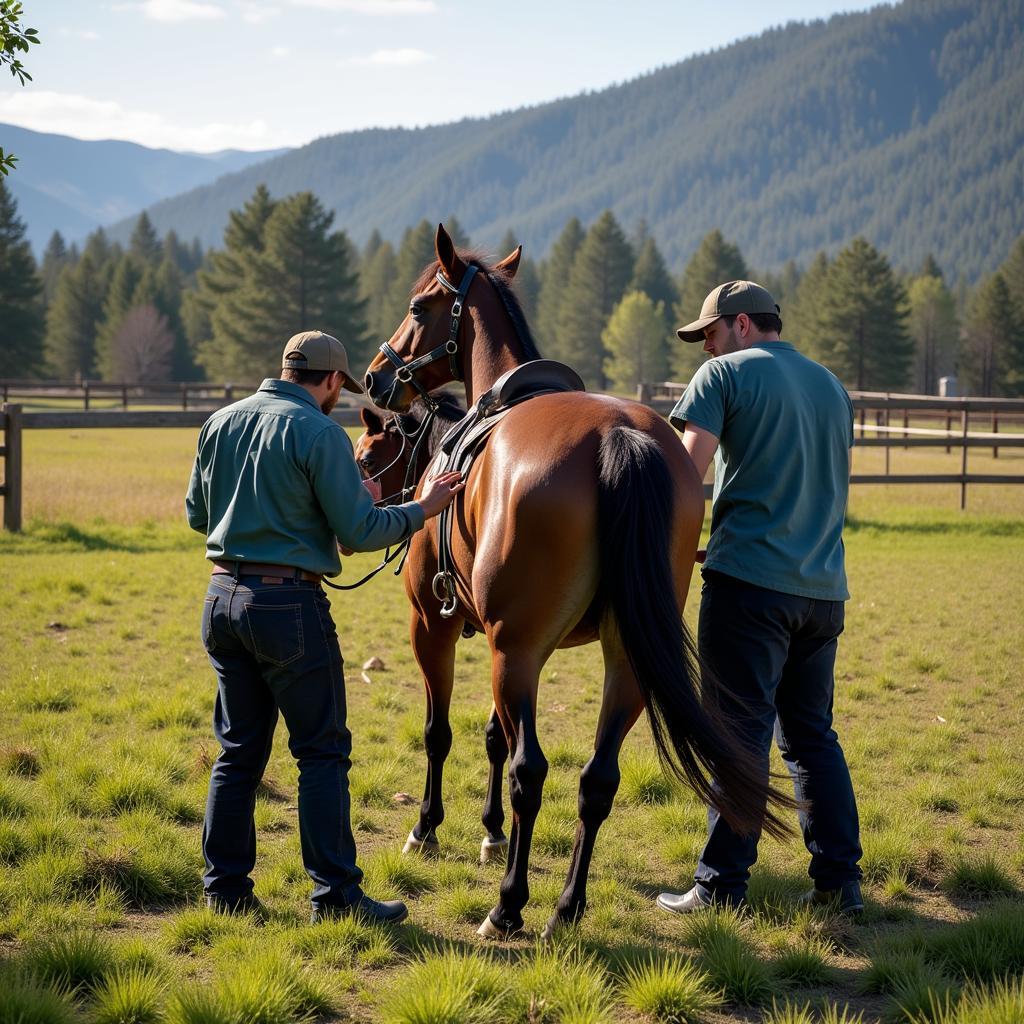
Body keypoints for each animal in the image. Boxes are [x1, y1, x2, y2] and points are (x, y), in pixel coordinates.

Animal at [364, 226, 794, 942]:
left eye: (420, 306)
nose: (374, 375)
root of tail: (615, 437)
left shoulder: (441, 626)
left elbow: (442, 732)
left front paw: (429, 828)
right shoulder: (503, 641)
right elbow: (494, 736)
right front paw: (489, 834)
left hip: (517, 650)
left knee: (530, 772)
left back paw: (508, 907)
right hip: (623, 659)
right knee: (597, 778)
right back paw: (566, 905)